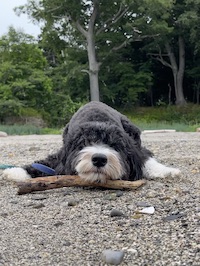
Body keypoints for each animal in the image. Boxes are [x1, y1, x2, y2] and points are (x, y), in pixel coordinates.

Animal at [2, 101, 181, 182]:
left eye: (114, 145)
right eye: (84, 144)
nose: (99, 159)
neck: (97, 121)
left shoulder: (135, 147)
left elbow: (145, 158)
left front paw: (166, 170)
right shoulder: (61, 153)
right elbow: (44, 163)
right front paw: (16, 171)